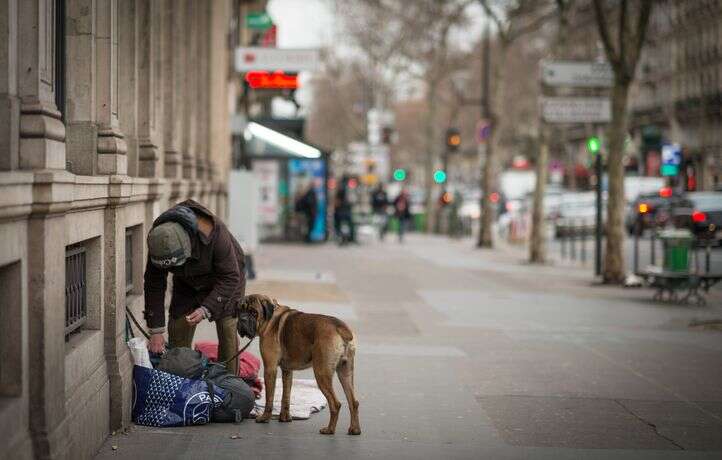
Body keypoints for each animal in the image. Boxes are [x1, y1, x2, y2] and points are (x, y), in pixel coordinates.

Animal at [236, 294, 360, 434]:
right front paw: (285, 417)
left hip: (322, 374)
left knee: (335, 404)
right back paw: (354, 429)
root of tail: (340, 327)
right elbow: (286, 396)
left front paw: (265, 417)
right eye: (240, 310)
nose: (242, 319)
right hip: (345, 373)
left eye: (253, 312)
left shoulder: (270, 369)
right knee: (353, 402)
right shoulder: (287, 371)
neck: (270, 319)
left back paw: (329, 429)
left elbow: (269, 397)